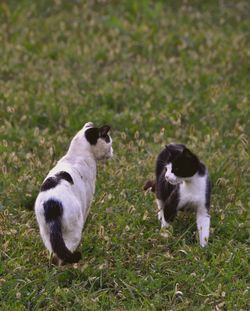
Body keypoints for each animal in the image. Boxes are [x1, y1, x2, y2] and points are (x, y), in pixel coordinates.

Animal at [34, 122, 113, 266]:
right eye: (109, 141)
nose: (112, 151)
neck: (76, 154)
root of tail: (52, 203)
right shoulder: (88, 201)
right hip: (73, 231)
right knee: (63, 254)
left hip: (46, 233)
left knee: (54, 253)